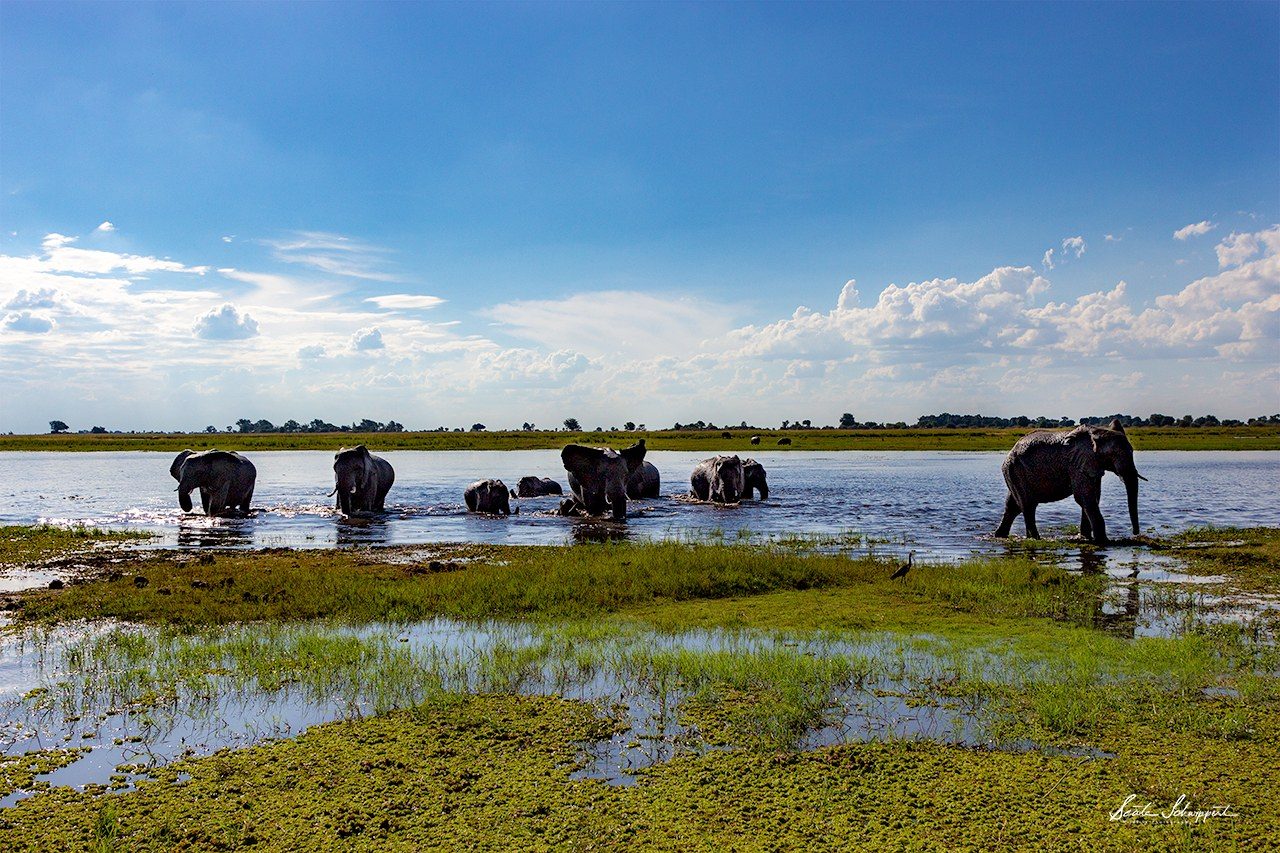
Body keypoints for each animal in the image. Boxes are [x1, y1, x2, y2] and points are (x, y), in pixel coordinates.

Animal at [994, 419, 1147, 545]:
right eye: (1115, 455)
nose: (1135, 534)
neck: (1097, 433)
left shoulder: (1090, 465)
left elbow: (1093, 498)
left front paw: (1085, 538)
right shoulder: (1076, 465)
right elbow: (1085, 498)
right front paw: (1104, 542)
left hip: (1013, 473)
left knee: (1013, 506)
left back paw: (1000, 536)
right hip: (1016, 470)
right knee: (1028, 505)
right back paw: (1035, 539)